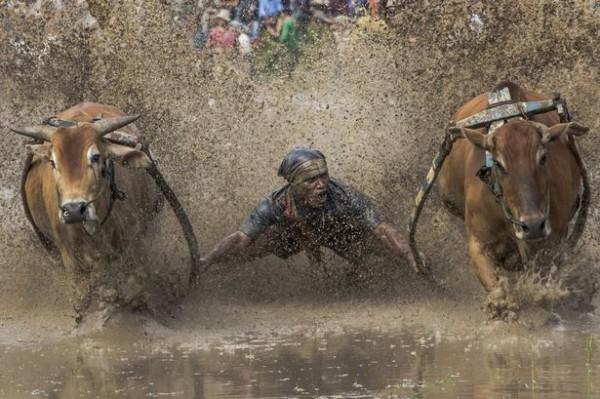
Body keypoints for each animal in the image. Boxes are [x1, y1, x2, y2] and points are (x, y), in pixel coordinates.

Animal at [11, 103, 162, 316]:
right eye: (52, 162)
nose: (74, 210)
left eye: (95, 157)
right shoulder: (68, 252)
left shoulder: (136, 242)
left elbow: (133, 285)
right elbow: (85, 295)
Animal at [438, 82, 588, 318]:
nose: (533, 225)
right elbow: (499, 294)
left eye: (543, 157)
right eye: (499, 164)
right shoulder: (479, 243)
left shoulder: (553, 241)